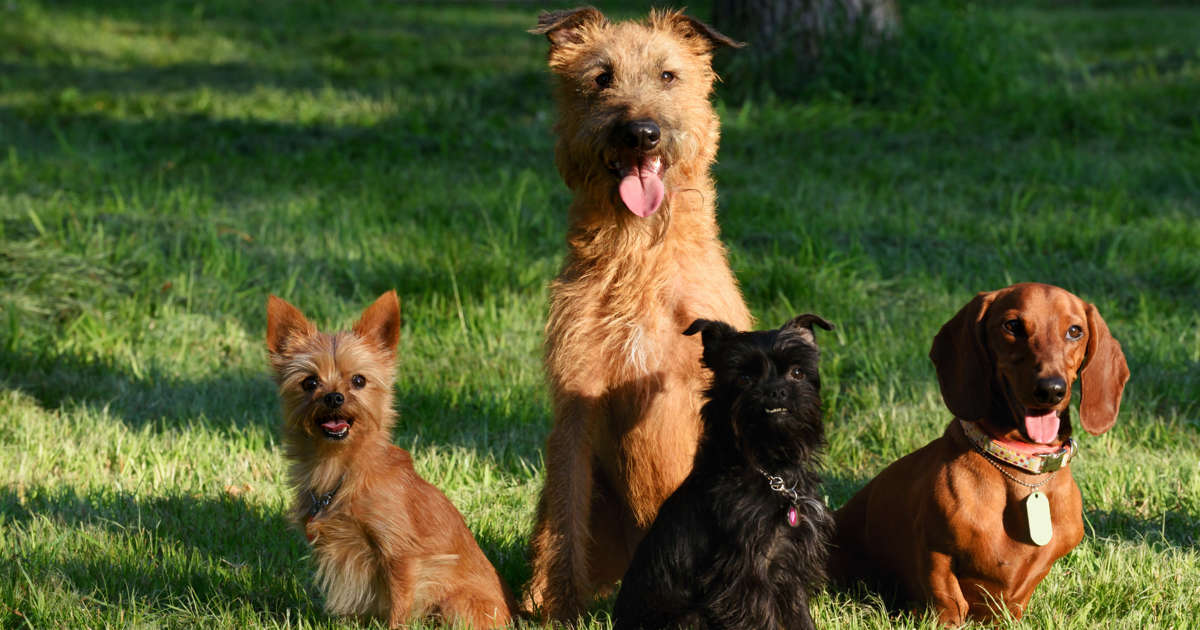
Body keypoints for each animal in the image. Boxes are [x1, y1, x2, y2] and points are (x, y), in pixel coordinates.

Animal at [265, 292, 513, 624]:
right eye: (309, 382)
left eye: (358, 380)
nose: (334, 397)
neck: (343, 470)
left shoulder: (400, 555)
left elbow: (399, 605)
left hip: (457, 602)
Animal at [525, 4, 748, 619]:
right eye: (601, 77)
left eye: (668, 75)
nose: (641, 132)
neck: (640, 257)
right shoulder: (577, 397)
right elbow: (565, 522)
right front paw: (560, 609)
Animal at [609, 314, 835, 628]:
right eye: (744, 378)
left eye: (798, 373)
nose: (776, 390)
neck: (772, 471)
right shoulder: (747, 575)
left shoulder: (791, 568)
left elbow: (799, 616)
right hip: (688, 618)